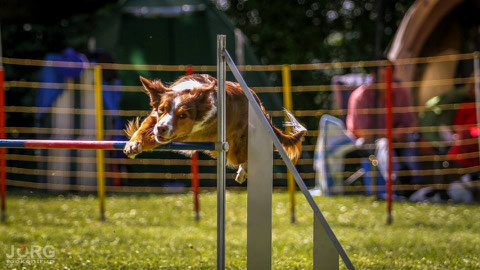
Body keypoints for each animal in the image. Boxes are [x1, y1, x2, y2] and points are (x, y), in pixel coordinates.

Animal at [122, 74, 306, 184]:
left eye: (183, 116)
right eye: (162, 109)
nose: (160, 129)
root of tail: (258, 103)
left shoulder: (187, 133)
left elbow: (154, 138)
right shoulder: (155, 118)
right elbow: (144, 128)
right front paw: (133, 144)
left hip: (236, 146)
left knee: (244, 158)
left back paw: (243, 172)